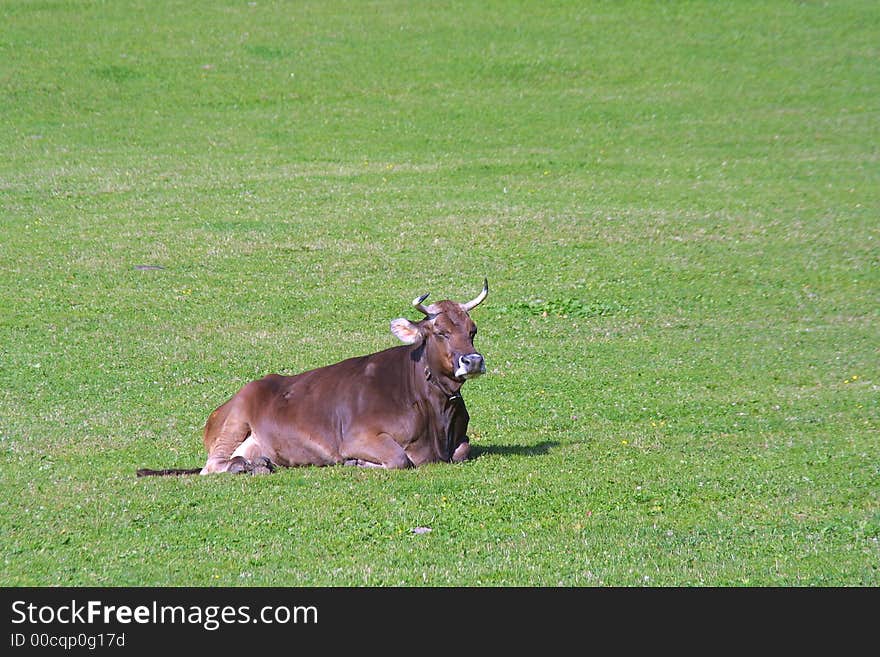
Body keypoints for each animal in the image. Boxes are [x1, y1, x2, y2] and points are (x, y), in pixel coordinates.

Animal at [141, 280, 492, 474]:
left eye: (472, 330)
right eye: (440, 331)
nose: (473, 360)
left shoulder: (458, 442)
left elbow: (463, 450)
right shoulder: (359, 436)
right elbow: (399, 459)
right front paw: (355, 463)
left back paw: (257, 465)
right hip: (234, 423)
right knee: (210, 467)